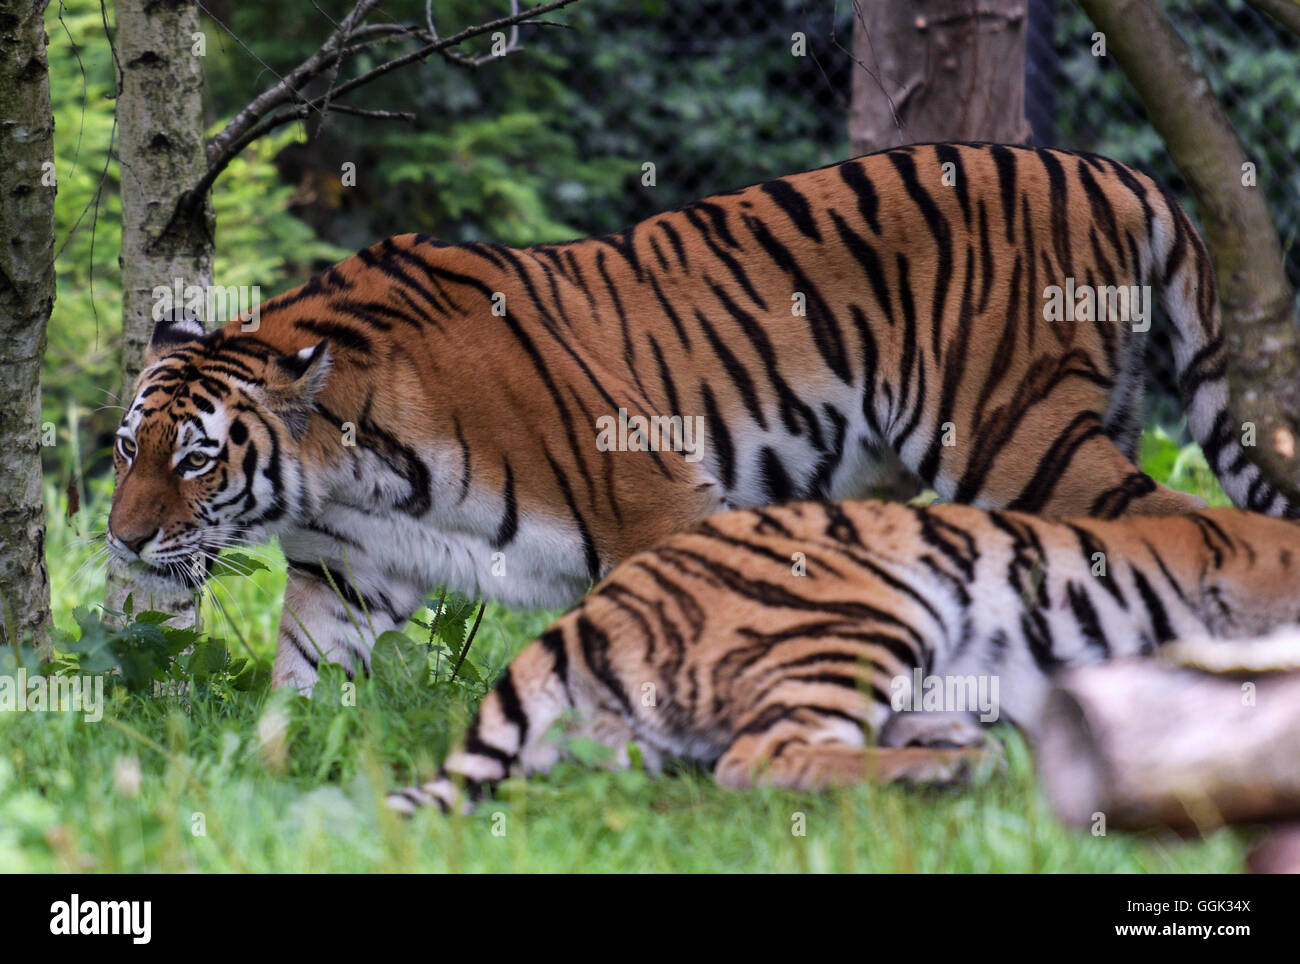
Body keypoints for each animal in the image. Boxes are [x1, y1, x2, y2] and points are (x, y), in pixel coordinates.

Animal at [105, 142, 1297, 694]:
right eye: (127, 450)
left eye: (199, 460)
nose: (120, 541)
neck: (347, 463)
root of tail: (1115, 167)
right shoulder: (353, 570)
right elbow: (303, 680)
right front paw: (279, 770)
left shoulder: (652, 498)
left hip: (1016, 434)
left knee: (1180, 526)